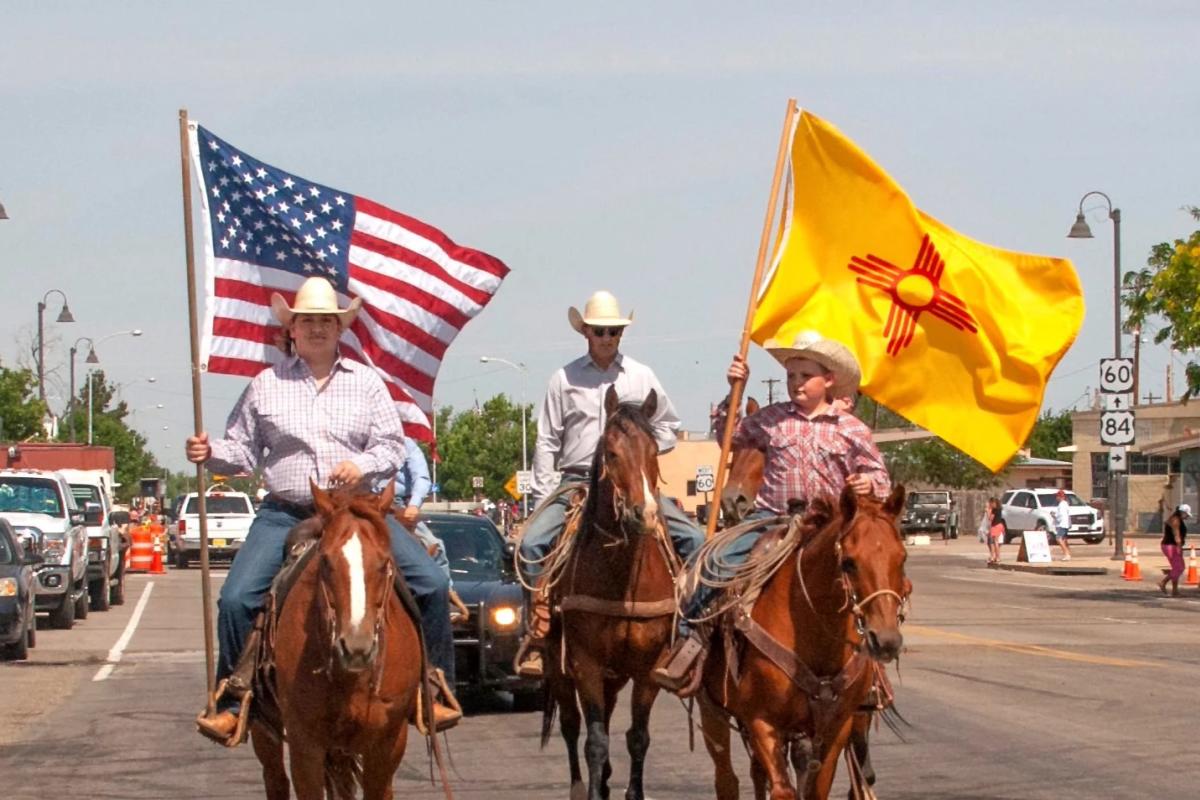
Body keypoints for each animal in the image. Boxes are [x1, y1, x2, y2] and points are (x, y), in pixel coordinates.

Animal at [250, 482, 424, 800]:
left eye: (385, 563)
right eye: (326, 561)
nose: (356, 648)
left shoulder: (387, 743)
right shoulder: (305, 746)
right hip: (265, 728)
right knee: (275, 778)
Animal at [547, 386, 681, 800]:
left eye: (654, 451)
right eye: (611, 453)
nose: (644, 514)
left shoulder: (648, 666)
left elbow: (637, 737)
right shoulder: (585, 662)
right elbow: (594, 740)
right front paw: (593, 788)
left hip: (616, 673)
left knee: (606, 713)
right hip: (559, 667)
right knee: (572, 725)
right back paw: (581, 786)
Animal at [696, 484, 907, 800]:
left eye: (902, 559)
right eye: (849, 562)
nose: (886, 641)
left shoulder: (836, 730)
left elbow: (817, 788)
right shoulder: (762, 723)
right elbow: (784, 790)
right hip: (712, 710)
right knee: (727, 779)